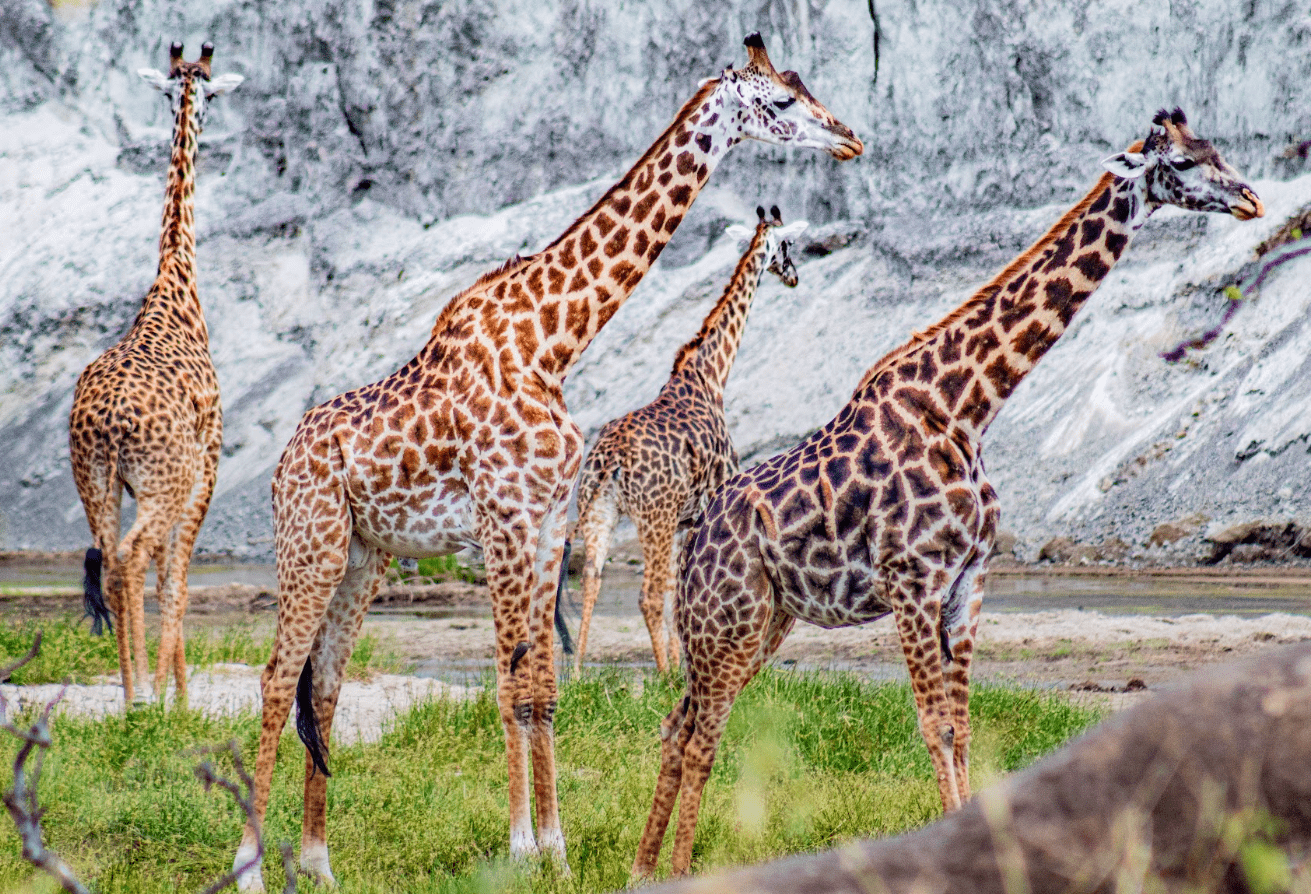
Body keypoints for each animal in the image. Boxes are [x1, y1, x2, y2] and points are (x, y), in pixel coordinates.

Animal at [68, 41, 243, 707]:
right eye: (210, 92)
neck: (175, 282)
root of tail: (111, 423)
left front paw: (172, 691)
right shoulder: (208, 463)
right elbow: (179, 577)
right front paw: (179, 699)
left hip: (94, 478)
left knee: (112, 559)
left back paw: (128, 693)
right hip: (163, 480)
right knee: (137, 555)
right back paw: (145, 695)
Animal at [574, 205, 807, 671]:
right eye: (788, 245)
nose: (793, 276)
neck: (711, 374)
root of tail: (611, 459)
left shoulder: (686, 516)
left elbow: (674, 587)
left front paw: (683, 658)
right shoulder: (706, 505)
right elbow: (681, 587)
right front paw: (683, 665)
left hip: (600, 508)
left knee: (592, 578)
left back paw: (573, 673)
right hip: (653, 516)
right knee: (645, 595)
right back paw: (664, 675)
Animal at [629, 106, 1263, 875]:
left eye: (1216, 148)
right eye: (1184, 162)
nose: (1251, 200)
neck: (966, 407)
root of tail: (698, 539)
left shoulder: (968, 582)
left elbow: (962, 726)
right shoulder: (912, 581)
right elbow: (933, 725)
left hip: (758, 622)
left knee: (676, 723)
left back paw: (641, 867)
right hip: (731, 617)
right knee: (701, 733)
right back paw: (678, 869)